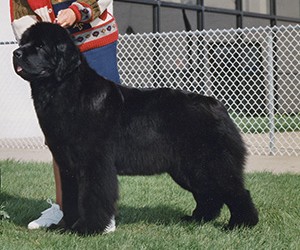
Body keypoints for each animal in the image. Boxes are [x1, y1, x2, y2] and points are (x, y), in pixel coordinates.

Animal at [12, 22, 258, 235]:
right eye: (24, 42)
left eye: (40, 46)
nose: (16, 53)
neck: (64, 90)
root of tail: (216, 104)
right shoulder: (67, 164)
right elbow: (71, 198)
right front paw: (66, 227)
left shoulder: (94, 163)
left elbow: (92, 197)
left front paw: (87, 228)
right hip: (188, 168)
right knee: (209, 193)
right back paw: (197, 219)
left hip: (212, 162)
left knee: (236, 191)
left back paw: (241, 224)